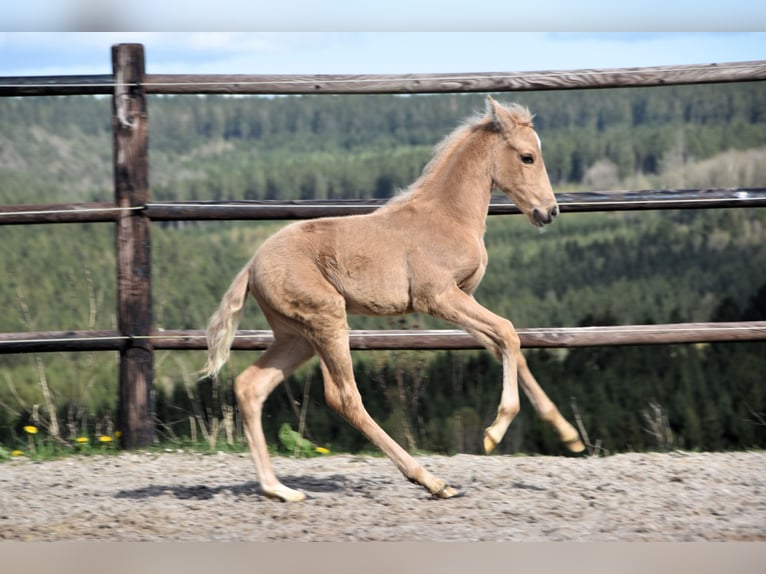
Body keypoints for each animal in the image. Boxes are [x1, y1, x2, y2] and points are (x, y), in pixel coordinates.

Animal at [207, 99, 584, 504]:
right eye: (528, 157)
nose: (549, 211)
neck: (448, 216)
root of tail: (251, 266)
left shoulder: (463, 297)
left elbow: (505, 345)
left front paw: (568, 435)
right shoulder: (438, 297)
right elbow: (508, 332)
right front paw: (493, 433)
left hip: (296, 336)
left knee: (251, 387)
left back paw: (279, 489)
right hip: (326, 320)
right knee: (344, 397)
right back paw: (432, 481)